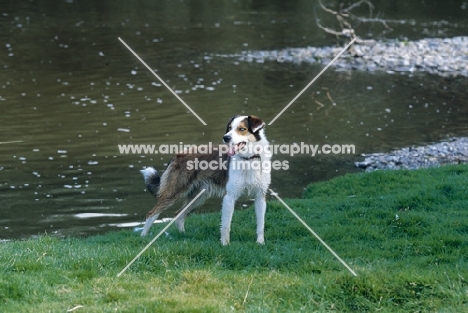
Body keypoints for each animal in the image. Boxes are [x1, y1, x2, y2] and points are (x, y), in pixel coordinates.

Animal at [139, 114, 270, 244]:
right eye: (229, 128)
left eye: (242, 129)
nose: (225, 138)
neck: (248, 159)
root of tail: (177, 155)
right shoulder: (229, 197)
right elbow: (226, 225)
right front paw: (225, 244)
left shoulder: (260, 197)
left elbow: (261, 224)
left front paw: (260, 243)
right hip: (173, 193)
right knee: (152, 214)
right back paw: (144, 237)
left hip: (198, 197)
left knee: (179, 214)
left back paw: (183, 235)